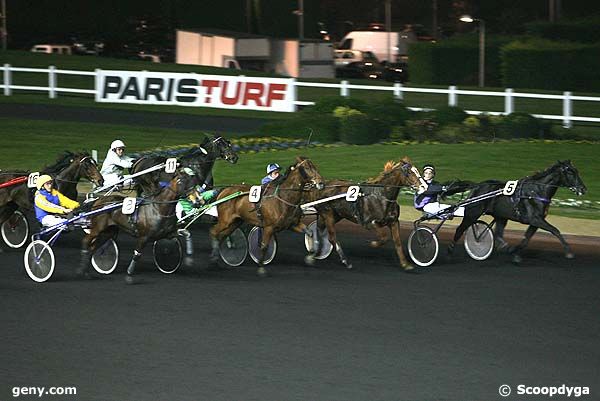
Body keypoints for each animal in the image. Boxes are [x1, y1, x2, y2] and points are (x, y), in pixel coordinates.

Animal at [450, 159, 584, 262]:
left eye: (577, 171)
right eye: (570, 172)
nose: (583, 189)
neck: (537, 191)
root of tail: (477, 185)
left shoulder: (536, 221)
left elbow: (526, 238)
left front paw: (516, 253)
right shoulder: (535, 219)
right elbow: (555, 230)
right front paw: (569, 252)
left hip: (501, 216)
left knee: (498, 235)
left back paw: (504, 248)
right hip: (472, 214)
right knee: (460, 230)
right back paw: (451, 250)